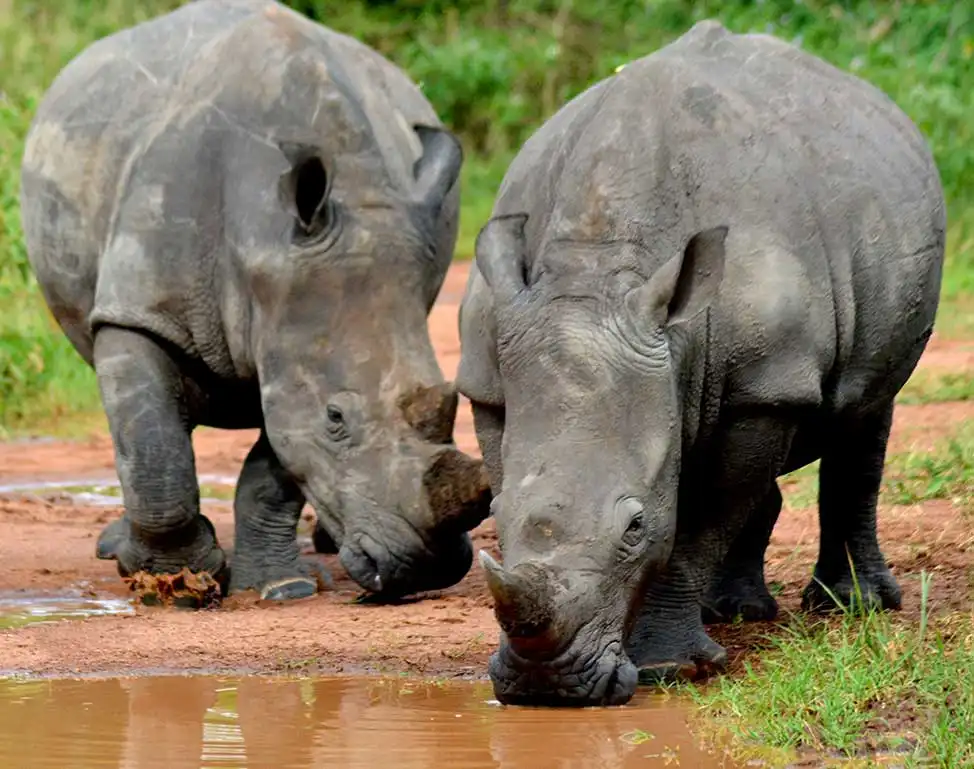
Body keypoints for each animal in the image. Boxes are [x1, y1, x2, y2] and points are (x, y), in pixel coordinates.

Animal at [20, 0, 491, 602]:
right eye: (336, 418)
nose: (429, 568)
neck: (260, 250)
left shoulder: (292, 328)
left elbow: (276, 461)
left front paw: (282, 588)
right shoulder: (141, 312)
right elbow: (153, 447)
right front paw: (175, 582)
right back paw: (115, 549)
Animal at [457, 20, 946, 706]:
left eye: (635, 527)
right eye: (493, 519)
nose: (546, 686)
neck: (596, 270)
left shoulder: (764, 384)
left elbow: (696, 524)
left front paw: (671, 668)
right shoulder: (490, 379)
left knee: (865, 410)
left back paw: (853, 607)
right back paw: (736, 612)